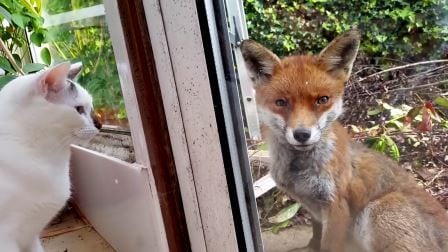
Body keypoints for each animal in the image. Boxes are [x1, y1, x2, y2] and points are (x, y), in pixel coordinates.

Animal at [242, 30, 448, 252]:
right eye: (281, 102)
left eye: (322, 100)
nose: (302, 134)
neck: (301, 171)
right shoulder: (314, 209)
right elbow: (316, 237)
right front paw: (310, 247)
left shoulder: (336, 206)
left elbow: (328, 246)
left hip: (379, 210)